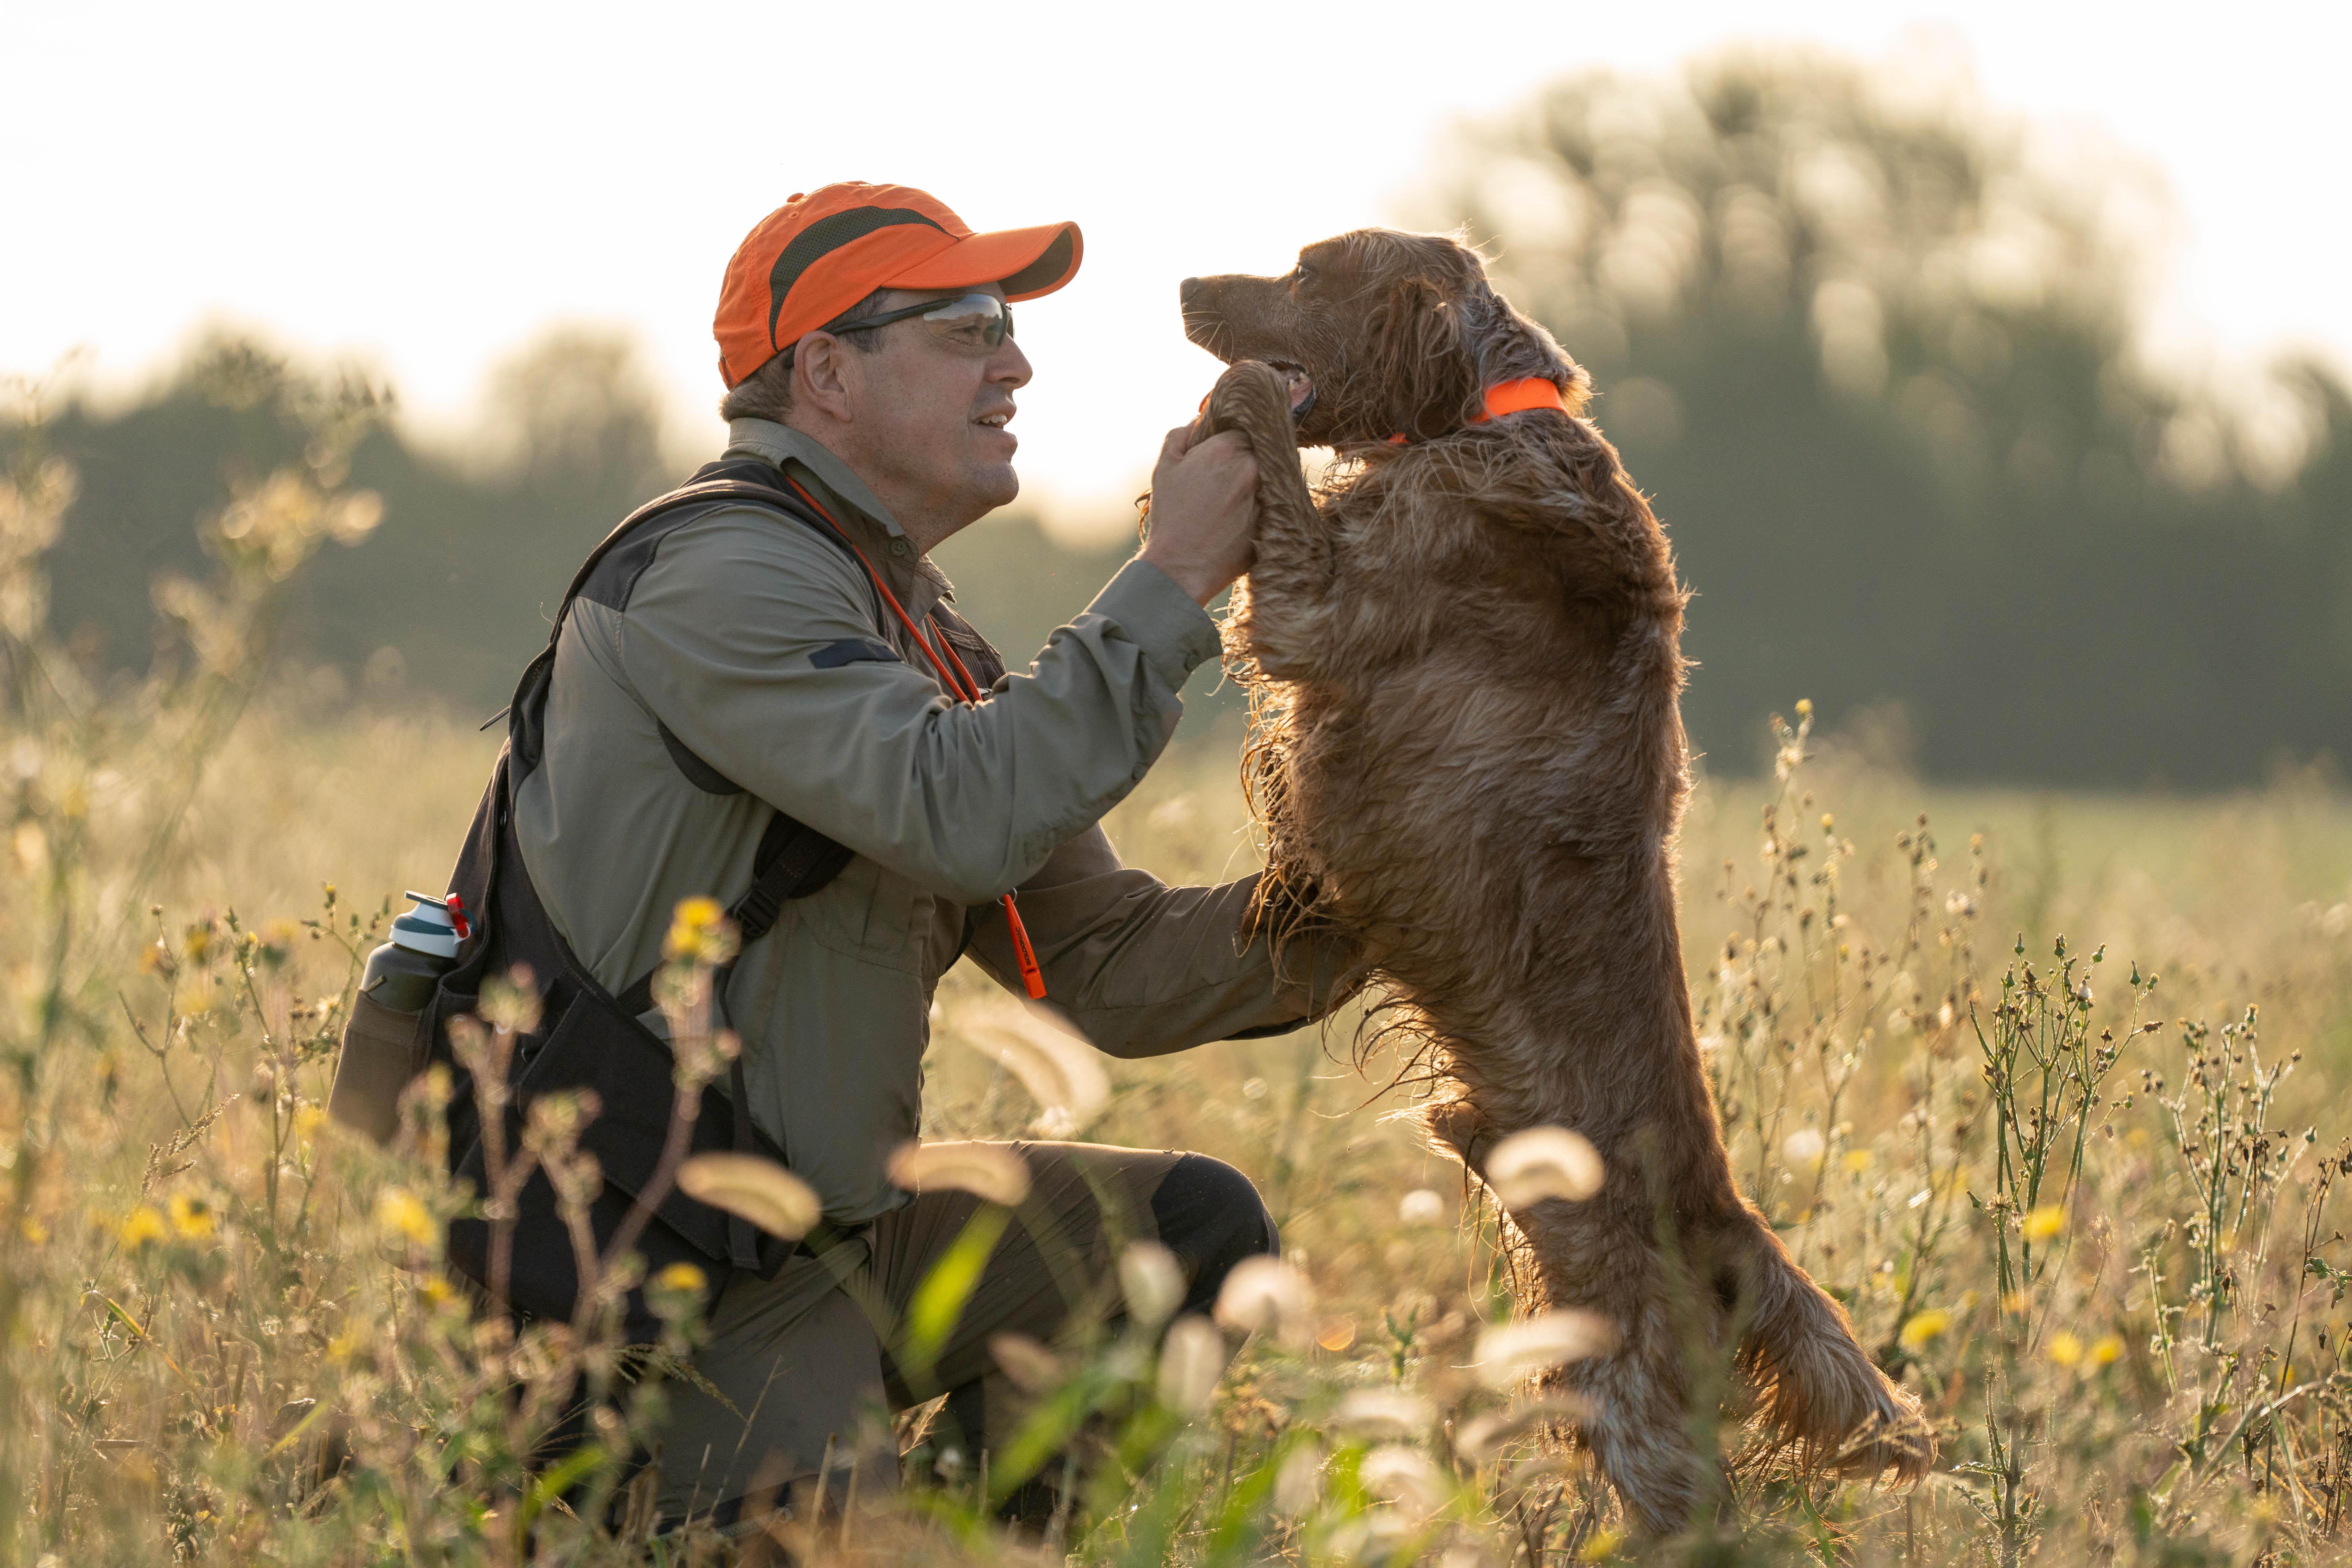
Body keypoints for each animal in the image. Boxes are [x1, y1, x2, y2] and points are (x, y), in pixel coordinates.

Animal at [1176, 233, 1928, 1532]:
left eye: (1310, 272)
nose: (1181, 289)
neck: (1488, 419)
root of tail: (1725, 1221)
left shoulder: (1319, 603)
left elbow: (1274, 466)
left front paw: (1236, 403)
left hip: (1622, 1382)